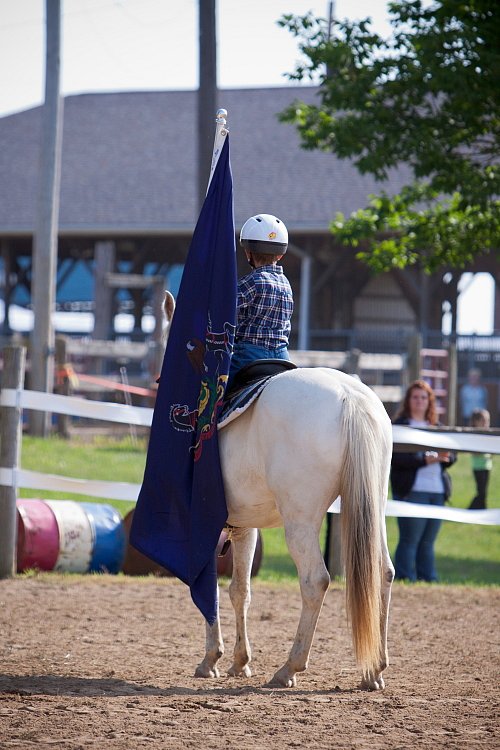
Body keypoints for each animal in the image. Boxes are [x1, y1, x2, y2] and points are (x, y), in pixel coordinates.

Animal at [164, 290, 394, 692]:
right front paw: (239, 661)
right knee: (383, 572)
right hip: (373, 507)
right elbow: (239, 590)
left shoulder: (206, 525)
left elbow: (210, 588)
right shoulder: (244, 526)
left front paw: (211, 659)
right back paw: (374, 671)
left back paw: (289, 667)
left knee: (315, 580)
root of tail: (351, 398)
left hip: (300, 520)